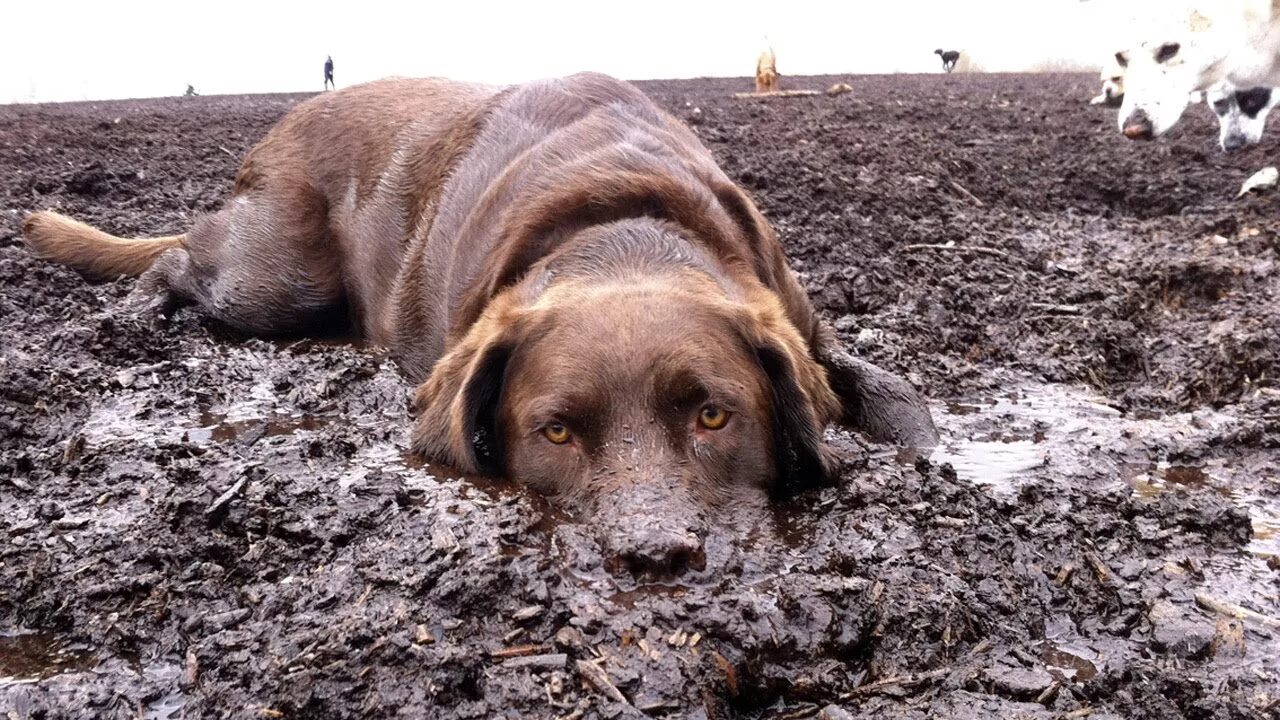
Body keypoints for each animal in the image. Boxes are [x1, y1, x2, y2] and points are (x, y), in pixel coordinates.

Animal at [24, 73, 936, 576]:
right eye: (556, 432)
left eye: (715, 415)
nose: (654, 559)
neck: (622, 228)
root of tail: (287, 118)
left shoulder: (799, 321)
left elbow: (892, 392)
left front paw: (920, 449)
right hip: (275, 279)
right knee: (181, 256)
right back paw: (134, 312)